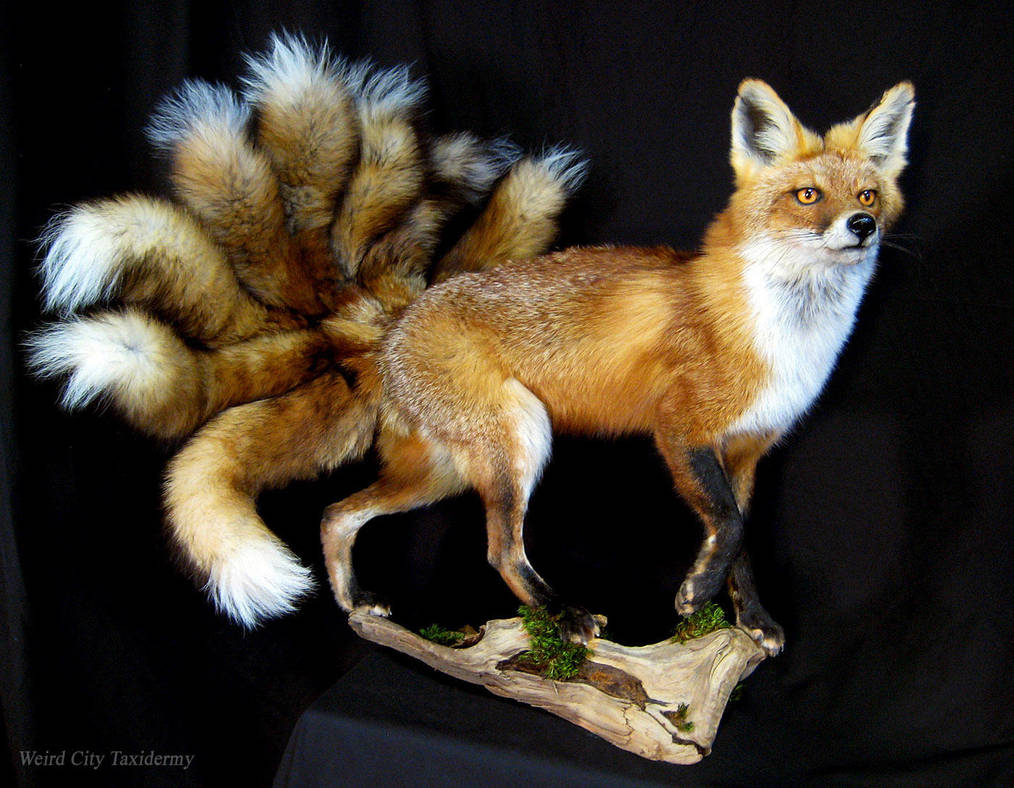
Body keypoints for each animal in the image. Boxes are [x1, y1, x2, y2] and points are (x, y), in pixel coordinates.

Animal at [320, 79, 915, 655]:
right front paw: (696, 591)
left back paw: (353, 600)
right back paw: (563, 614)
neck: (785, 337)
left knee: (337, 514)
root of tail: (396, 322)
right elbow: (729, 525)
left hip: (443, 474)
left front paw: (753, 619)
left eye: (868, 194)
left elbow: (742, 537)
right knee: (499, 549)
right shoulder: (681, 430)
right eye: (807, 195)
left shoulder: (747, 451)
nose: (863, 224)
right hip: (519, 439)